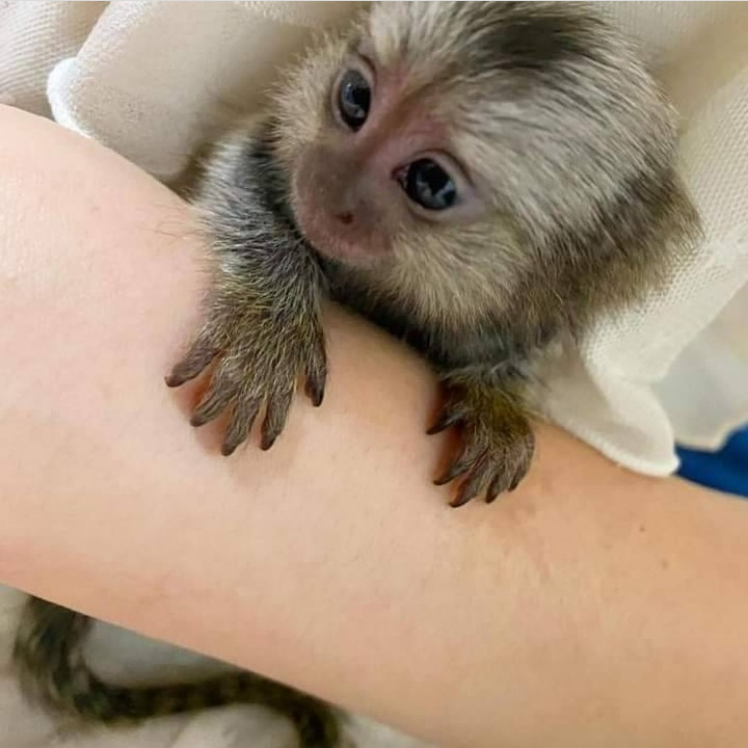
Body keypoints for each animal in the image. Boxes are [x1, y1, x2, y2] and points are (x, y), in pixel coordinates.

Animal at [14, 3, 700, 747]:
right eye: (354, 100)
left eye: (430, 183)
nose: (326, 180)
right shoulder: (270, 147)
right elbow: (243, 178)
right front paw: (271, 318)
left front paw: (496, 396)